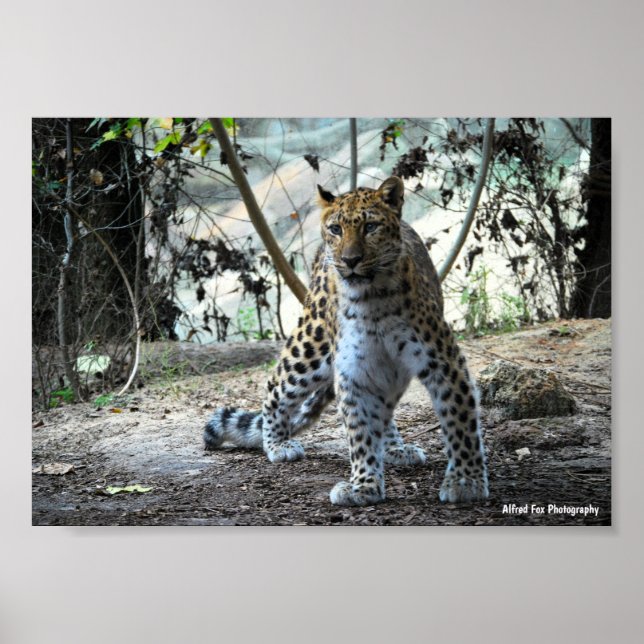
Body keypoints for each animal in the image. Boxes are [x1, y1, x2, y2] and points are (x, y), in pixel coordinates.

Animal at [204, 176, 489, 506]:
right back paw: (277, 444)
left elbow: (459, 421)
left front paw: (466, 481)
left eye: (370, 227)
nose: (350, 260)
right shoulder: (355, 372)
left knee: (386, 411)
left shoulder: (442, 361)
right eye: (336, 229)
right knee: (277, 384)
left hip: (388, 370)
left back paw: (395, 448)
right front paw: (363, 485)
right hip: (311, 344)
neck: (373, 301)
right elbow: (360, 432)